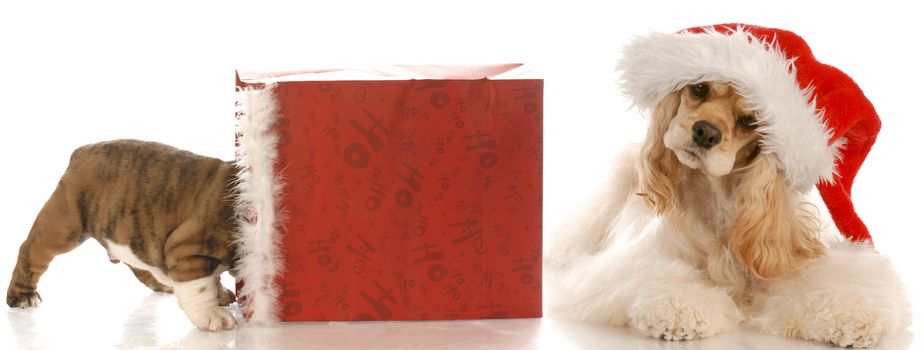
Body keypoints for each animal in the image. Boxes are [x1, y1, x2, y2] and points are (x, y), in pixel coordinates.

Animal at [7, 139, 238, 330]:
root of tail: (81, 151)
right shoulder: (187, 251)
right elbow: (200, 287)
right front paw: (211, 314)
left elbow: (212, 278)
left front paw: (219, 293)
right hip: (63, 224)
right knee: (32, 251)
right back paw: (22, 295)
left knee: (141, 263)